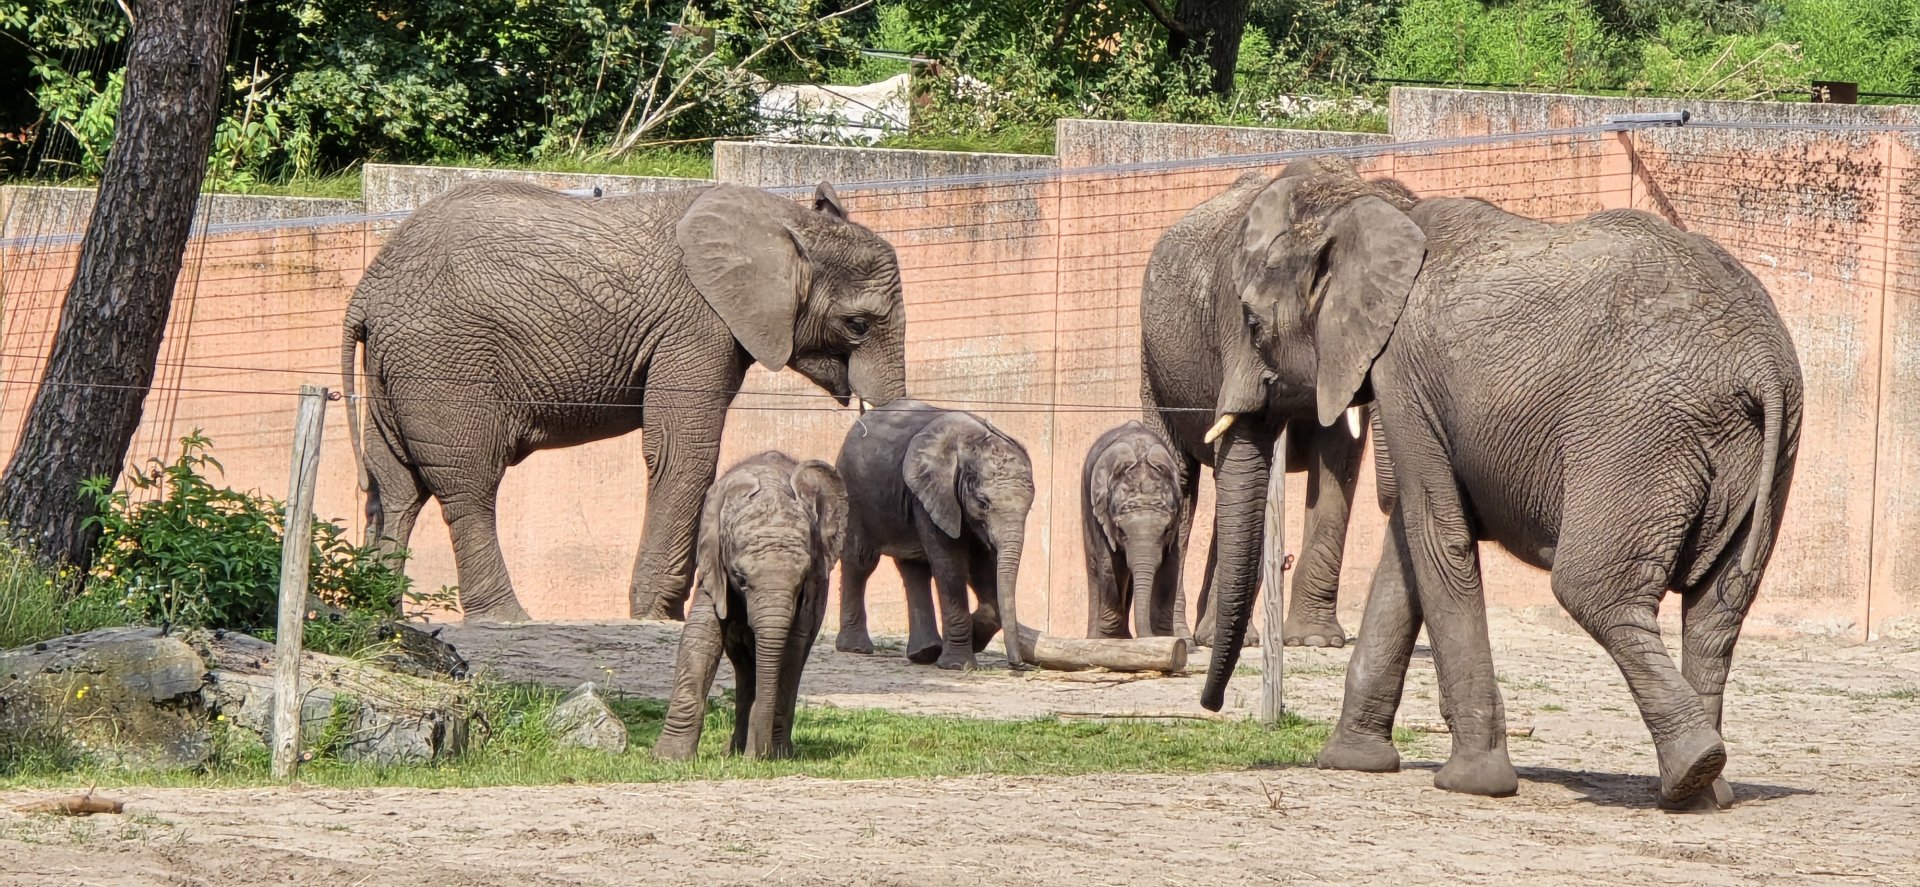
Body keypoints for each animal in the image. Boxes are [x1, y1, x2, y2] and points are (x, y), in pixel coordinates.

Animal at [339, 179, 907, 622]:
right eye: (858, 324)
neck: (787, 220)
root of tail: (365, 292)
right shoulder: (697, 323)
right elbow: (684, 452)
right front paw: (657, 616)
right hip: (443, 362)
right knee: (467, 484)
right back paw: (506, 618)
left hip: (398, 370)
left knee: (395, 487)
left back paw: (379, 610)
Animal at [653, 451, 847, 761]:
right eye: (740, 577)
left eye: (803, 578)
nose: (758, 756)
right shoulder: (713, 563)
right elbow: (700, 638)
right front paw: (669, 759)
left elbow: (790, 648)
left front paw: (769, 755)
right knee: (745, 664)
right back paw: (734, 750)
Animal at [832, 399, 1032, 670]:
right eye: (983, 503)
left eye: (1030, 506)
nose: (1017, 664)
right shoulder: (934, 494)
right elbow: (951, 565)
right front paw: (958, 665)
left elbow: (982, 566)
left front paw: (974, 638)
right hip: (854, 493)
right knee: (860, 561)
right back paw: (856, 648)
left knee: (914, 569)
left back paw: (924, 653)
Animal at [1081, 421, 1183, 639]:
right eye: (1120, 530)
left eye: (1167, 529)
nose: (1145, 635)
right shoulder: (1102, 513)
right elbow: (1110, 565)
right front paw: (1109, 639)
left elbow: (1170, 568)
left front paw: (1164, 638)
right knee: (1094, 566)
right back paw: (1094, 639)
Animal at [1200, 156, 1802, 809]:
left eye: (1252, 324)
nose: (1210, 706)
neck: (1369, 205)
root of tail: (1759, 360)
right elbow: (1407, 549)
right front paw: (1350, 763)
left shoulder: (1404, 373)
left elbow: (1437, 538)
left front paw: (1472, 784)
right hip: (1768, 451)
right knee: (1720, 607)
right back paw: (1704, 792)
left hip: (1637, 436)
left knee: (1594, 591)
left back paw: (1692, 768)